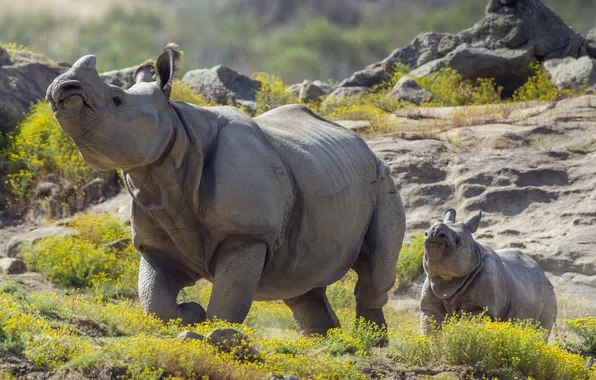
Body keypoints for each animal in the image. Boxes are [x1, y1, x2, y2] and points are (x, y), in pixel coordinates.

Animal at [422, 209, 556, 334]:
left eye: (458, 240)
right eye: (425, 233)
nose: (433, 233)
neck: (447, 279)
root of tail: (544, 275)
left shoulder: (482, 308)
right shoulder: (429, 305)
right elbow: (430, 330)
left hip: (548, 292)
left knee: (541, 331)